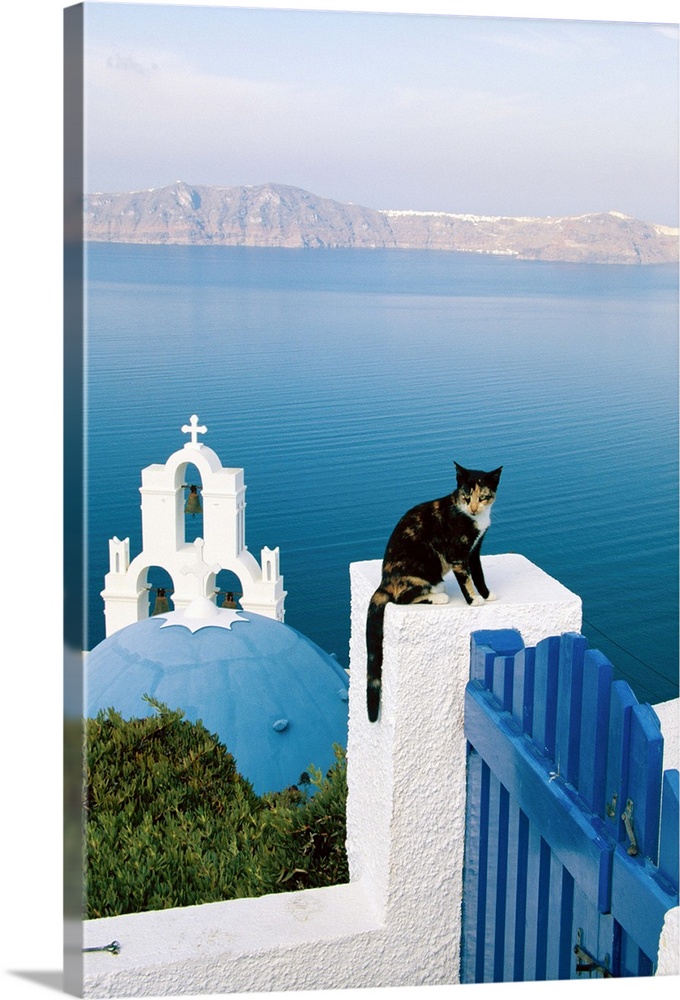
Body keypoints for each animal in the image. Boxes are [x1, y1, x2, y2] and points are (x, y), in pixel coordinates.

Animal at [366, 464, 500, 724]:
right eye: (466, 497)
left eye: (483, 497)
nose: (473, 508)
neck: (473, 518)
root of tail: (384, 581)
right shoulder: (458, 553)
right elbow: (467, 579)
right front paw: (474, 601)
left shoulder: (475, 549)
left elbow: (478, 574)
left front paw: (487, 595)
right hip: (424, 572)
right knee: (402, 598)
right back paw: (438, 596)